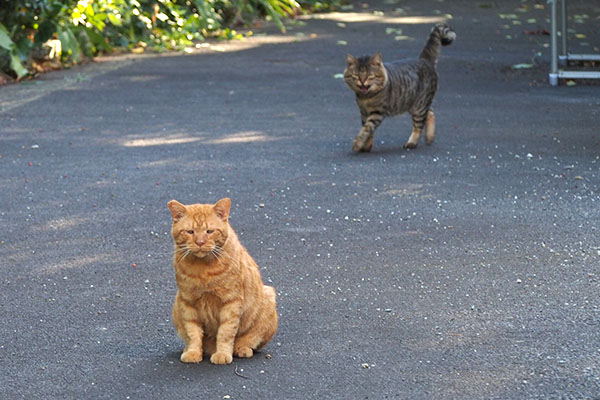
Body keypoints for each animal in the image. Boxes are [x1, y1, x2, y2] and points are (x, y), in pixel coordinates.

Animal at [166, 198, 278, 364]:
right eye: (190, 232)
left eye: (209, 231)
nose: (200, 242)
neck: (203, 269)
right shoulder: (188, 302)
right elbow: (193, 332)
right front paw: (193, 352)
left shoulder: (231, 302)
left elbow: (225, 333)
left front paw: (223, 354)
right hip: (176, 305)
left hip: (268, 297)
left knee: (251, 340)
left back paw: (241, 349)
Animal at [342, 23, 454, 152]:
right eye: (356, 76)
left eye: (370, 76)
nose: (362, 82)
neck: (365, 97)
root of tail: (424, 59)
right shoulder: (364, 112)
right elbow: (368, 130)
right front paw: (366, 146)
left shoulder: (377, 112)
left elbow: (366, 129)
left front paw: (358, 143)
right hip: (412, 103)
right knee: (430, 113)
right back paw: (429, 138)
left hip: (419, 106)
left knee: (419, 126)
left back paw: (412, 142)